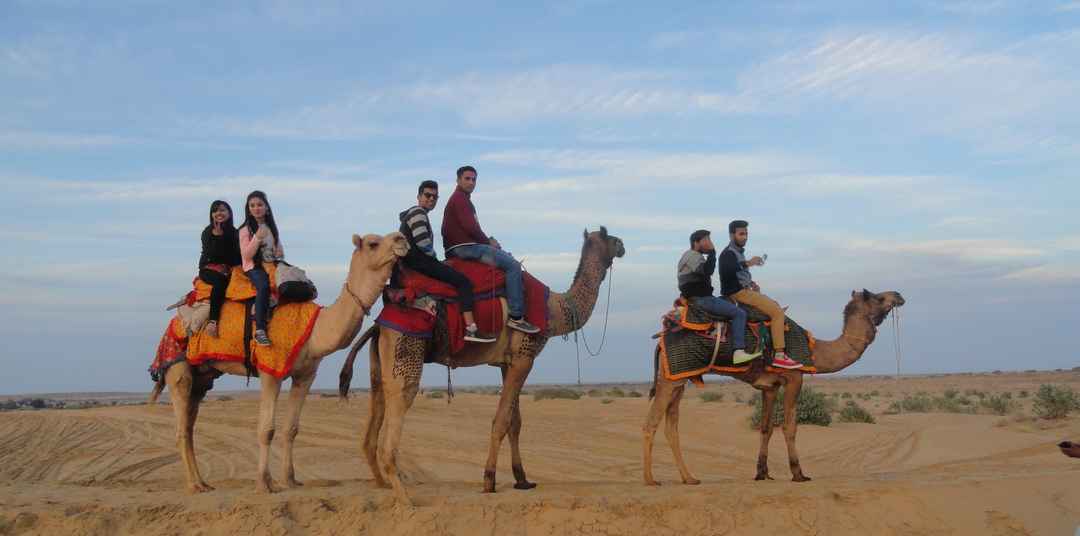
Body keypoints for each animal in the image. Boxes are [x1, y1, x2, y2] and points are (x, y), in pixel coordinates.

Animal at [150, 233, 406, 494]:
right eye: (373, 243)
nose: (401, 239)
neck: (314, 330)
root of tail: (174, 322)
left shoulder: (305, 375)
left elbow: (291, 429)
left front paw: (290, 480)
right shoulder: (270, 370)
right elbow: (267, 430)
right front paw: (264, 483)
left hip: (202, 378)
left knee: (190, 425)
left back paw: (204, 482)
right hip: (178, 368)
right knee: (181, 426)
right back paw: (194, 486)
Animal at [336, 225, 626, 501]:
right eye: (611, 237)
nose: (623, 245)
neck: (553, 308)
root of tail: (379, 323)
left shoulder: (508, 363)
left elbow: (515, 422)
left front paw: (522, 479)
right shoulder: (525, 357)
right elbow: (501, 421)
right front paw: (489, 481)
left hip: (379, 362)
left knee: (374, 414)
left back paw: (383, 485)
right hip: (405, 350)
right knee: (398, 401)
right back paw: (401, 494)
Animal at [643, 289, 907, 486]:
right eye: (877, 297)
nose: (898, 295)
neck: (815, 350)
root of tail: (662, 339)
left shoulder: (769, 387)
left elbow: (766, 428)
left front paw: (762, 473)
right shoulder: (794, 378)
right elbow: (790, 427)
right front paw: (799, 474)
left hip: (680, 378)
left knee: (672, 426)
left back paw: (689, 478)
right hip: (671, 378)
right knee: (651, 423)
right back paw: (650, 479)